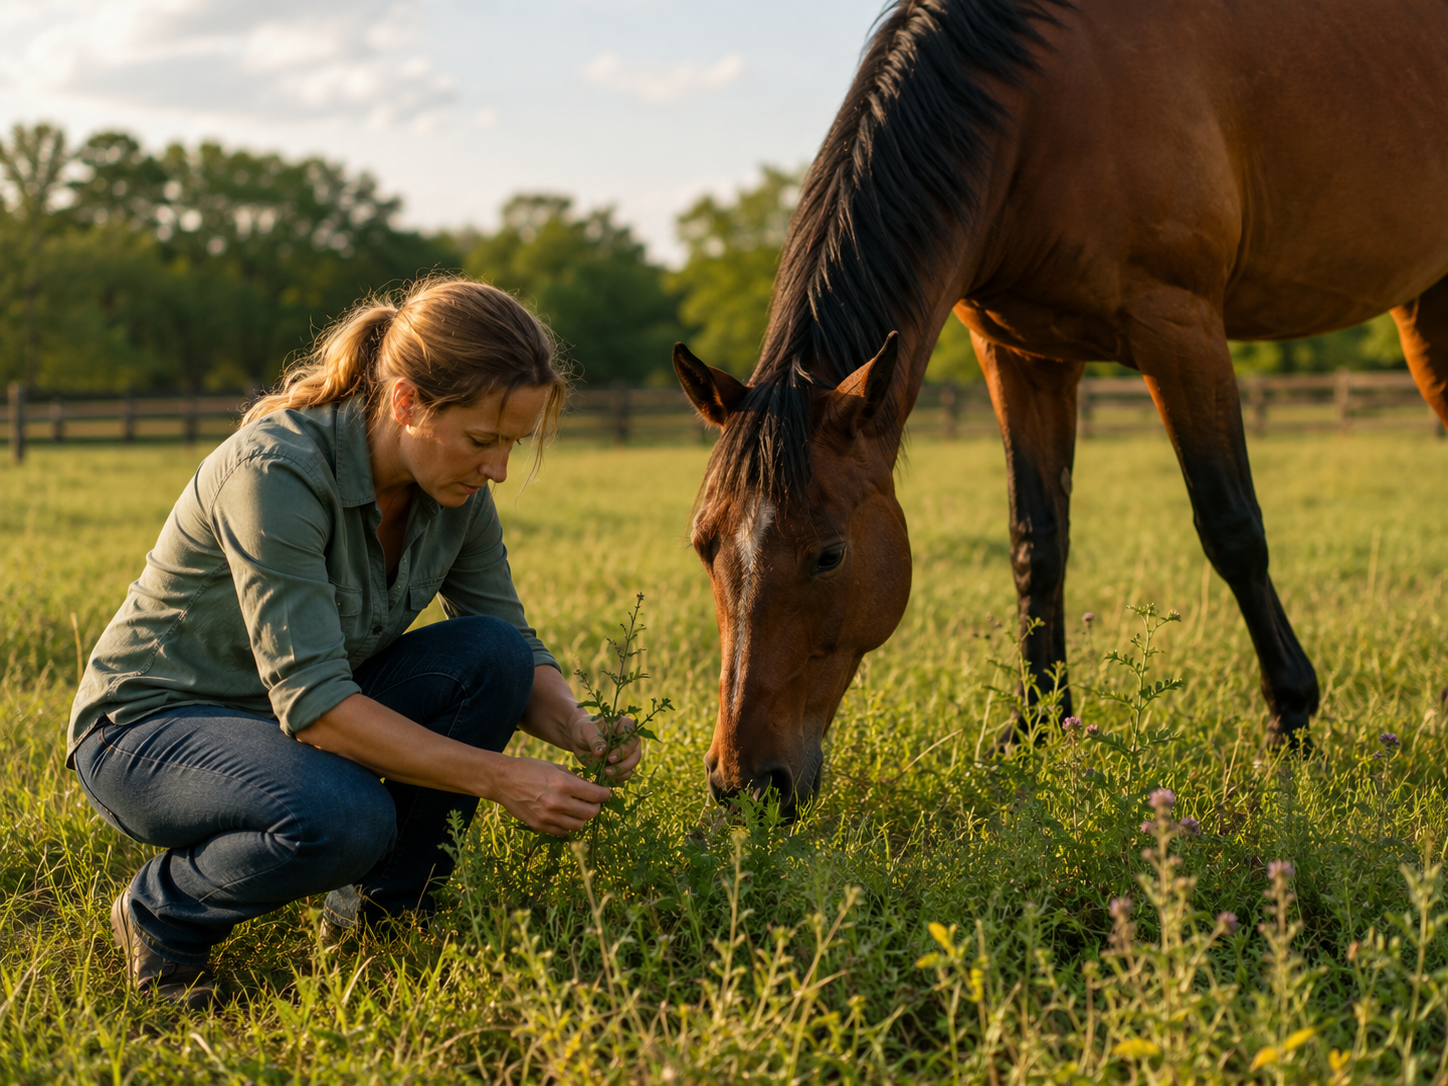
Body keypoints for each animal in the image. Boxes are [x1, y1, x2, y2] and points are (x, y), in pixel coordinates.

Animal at [672, 0, 1448, 818]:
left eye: (830, 554)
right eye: (705, 545)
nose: (744, 783)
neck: (1038, 109)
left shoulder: (1181, 327)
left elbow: (1232, 527)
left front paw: (1290, 722)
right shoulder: (1021, 357)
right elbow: (1036, 542)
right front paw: (1036, 731)